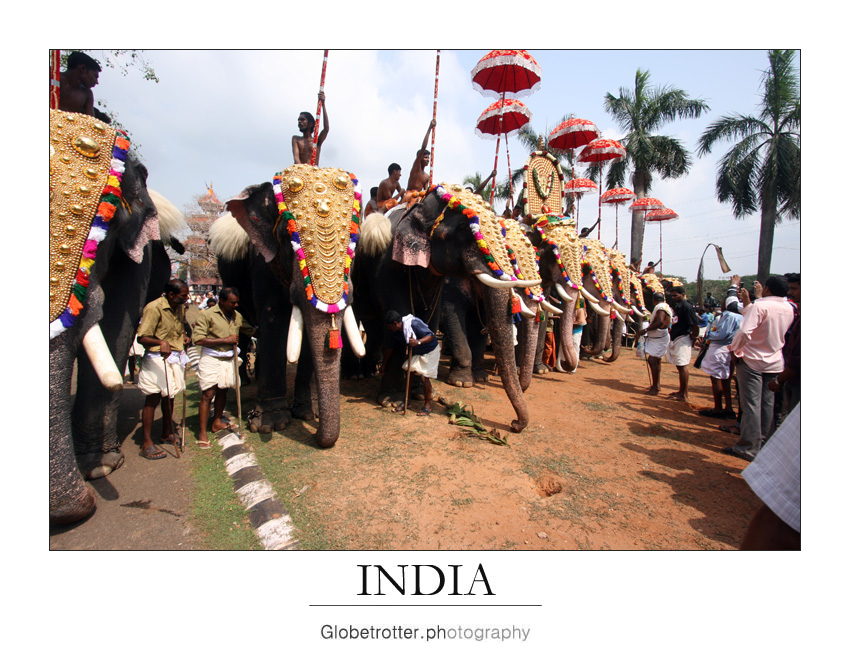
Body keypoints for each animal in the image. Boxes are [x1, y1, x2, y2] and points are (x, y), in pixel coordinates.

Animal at [49, 112, 186, 524]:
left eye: (103, 222)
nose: (71, 512)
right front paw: (100, 466)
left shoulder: (135, 256)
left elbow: (116, 328)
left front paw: (100, 466)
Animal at [212, 168, 364, 452]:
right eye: (288, 237)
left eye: (353, 239)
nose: (317, 436)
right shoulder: (262, 263)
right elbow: (274, 319)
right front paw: (270, 425)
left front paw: (306, 413)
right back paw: (246, 384)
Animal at [350, 186, 540, 434]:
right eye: (464, 229)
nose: (514, 425)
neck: (418, 208)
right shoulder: (386, 268)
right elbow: (407, 320)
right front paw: (393, 401)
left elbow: (434, 320)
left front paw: (420, 392)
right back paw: (358, 374)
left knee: (374, 328)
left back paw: (371, 370)